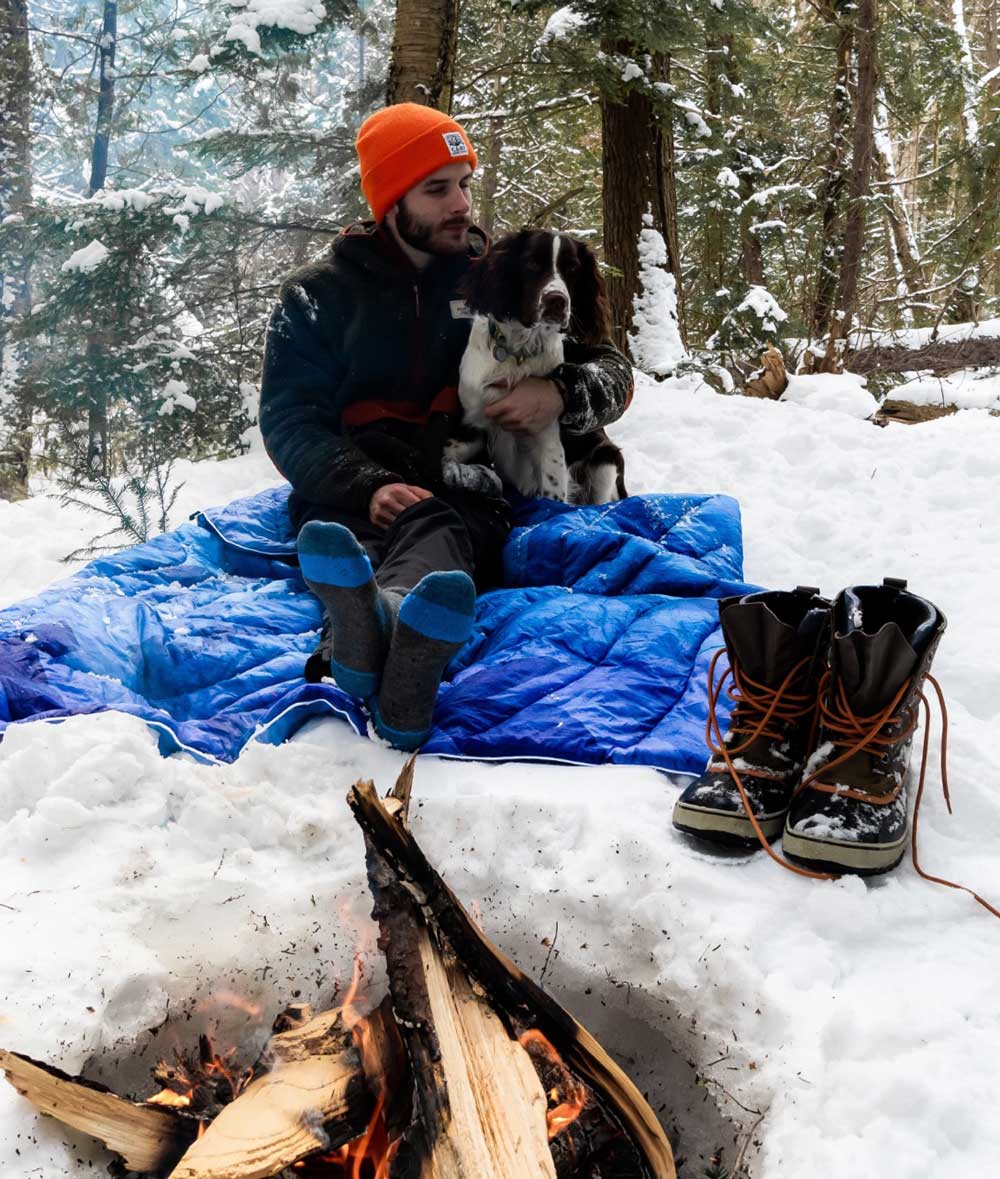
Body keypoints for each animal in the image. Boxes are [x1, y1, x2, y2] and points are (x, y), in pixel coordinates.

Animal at [443, 227, 622, 504]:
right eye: (532, 263)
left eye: (572, 268)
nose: (557, 301)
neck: (519, 351)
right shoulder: (472, 420)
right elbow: (448, 456)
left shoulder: (548, 439)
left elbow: (553, 495)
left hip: (606, 458)